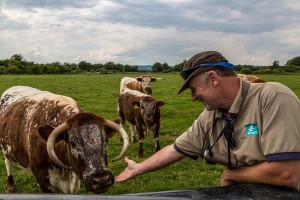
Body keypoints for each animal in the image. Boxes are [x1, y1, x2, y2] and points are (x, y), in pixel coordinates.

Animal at [0, 86, 129, 194]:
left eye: (106, 140)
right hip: (5, 149)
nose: (101, 180)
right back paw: (11, 186)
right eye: (72, 143)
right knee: (8, 163)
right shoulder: (43, 181)